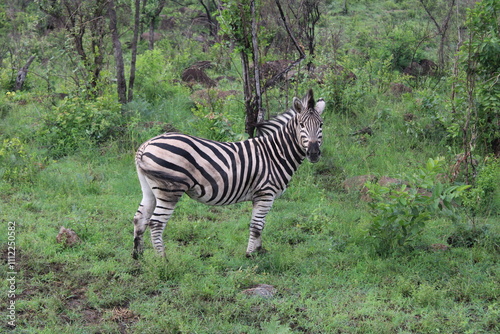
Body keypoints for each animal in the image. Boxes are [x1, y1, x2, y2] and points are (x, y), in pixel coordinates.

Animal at [132, 89, 324, 258]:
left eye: (321, 125)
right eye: (301, 125)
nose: (314, 153)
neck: (275, 153)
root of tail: (146, 145)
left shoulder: (261, 196)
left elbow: (261, 224)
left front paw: (259, 251)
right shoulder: (265, 193)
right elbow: (256, 226)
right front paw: (250, 255)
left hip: (149, 188)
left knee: (139, 218)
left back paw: (138, 257)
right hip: (169, 190)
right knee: (156, 223)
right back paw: (163, 260)